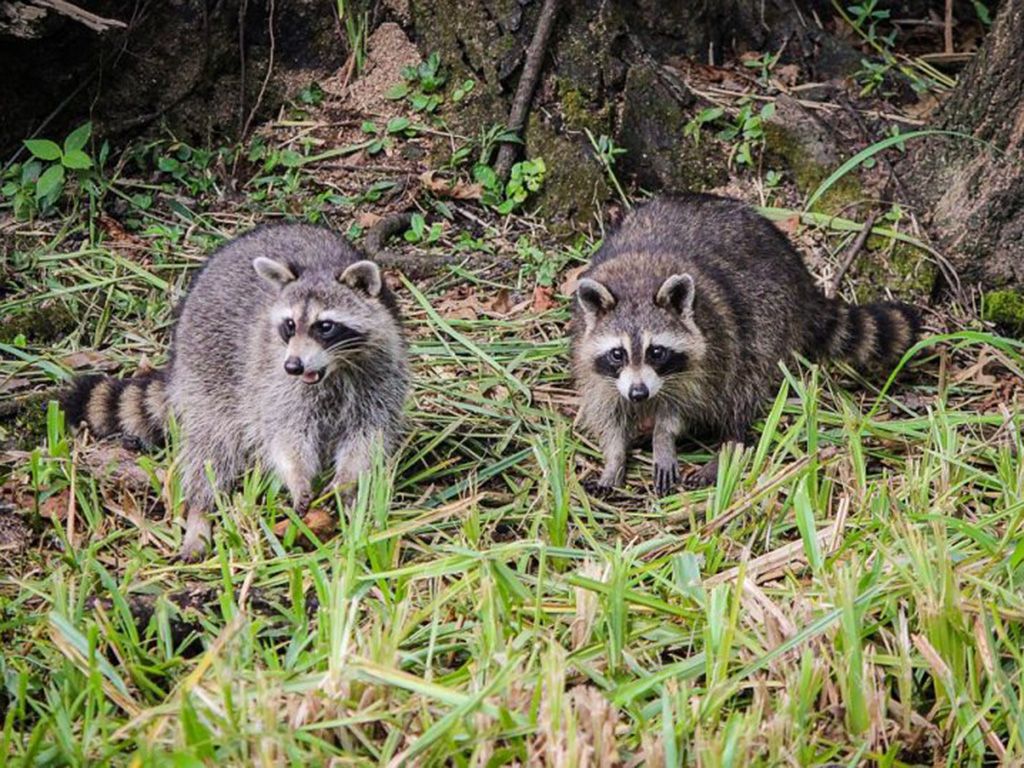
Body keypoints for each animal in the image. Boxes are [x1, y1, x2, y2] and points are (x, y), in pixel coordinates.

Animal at [63, 224, 409, 561]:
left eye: (325, 326)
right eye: (289, 325)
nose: (293, 366)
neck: (335, 369)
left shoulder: (381, 377)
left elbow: (368, 436)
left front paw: (347, 482)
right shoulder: (274, 381)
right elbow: (284, 435)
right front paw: (297, 477)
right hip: (207, 374)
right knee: (210, 449)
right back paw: (200, 513)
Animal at [571, 194, 919, 496]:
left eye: (656, 352)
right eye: (618, 354)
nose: (639, 393)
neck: (636, 283)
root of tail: (801, 278)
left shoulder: (708, 353)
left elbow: (682, 406)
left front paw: (663, 439)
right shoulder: (595, 366)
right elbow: (608, 414)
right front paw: (614, 459)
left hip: (770, 316)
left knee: (743, 380)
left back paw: (731, 443)